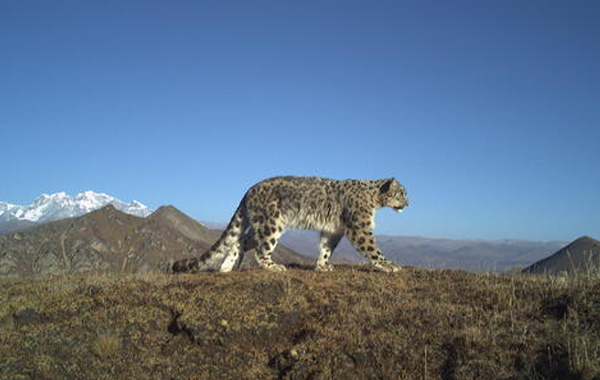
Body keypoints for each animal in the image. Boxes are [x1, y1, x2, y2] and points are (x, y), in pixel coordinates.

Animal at [171, 177, 410, 272]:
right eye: (401, 193)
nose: (408, 203)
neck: (375, 202)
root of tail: (249, 190)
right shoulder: (360, 227)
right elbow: (372, 248)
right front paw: (390, 266)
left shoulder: (333, 231)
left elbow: (326, 248)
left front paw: (323, 265)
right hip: (271, 224)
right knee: (260, 250)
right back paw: (273, 266)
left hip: (261, 224)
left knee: (241, 240)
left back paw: (228, 267)